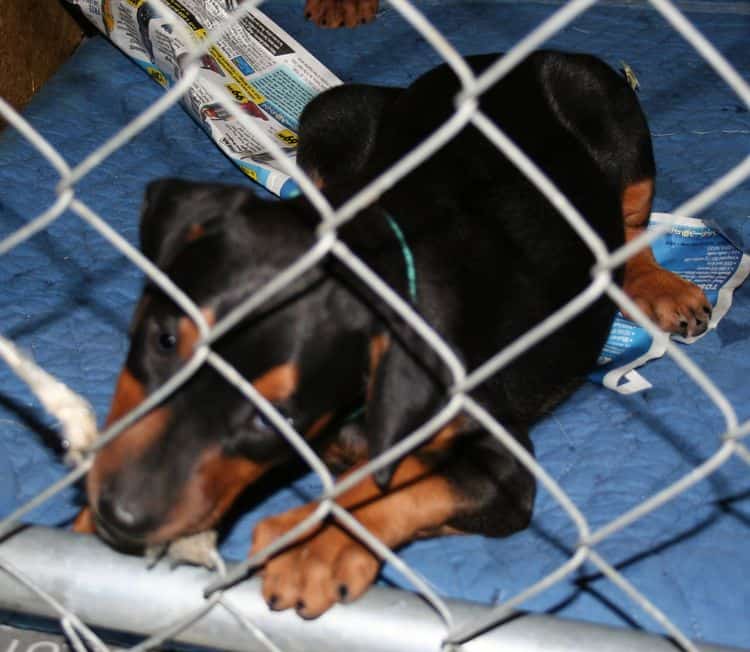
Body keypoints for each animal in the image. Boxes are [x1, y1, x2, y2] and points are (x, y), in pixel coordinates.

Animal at [75, 49, 712, 616]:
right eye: (163, 342)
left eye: (274, 418)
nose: (120, 515)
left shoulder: (500, 460)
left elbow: (403, 483)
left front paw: (316, 548)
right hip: (332, 114)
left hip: (604, 99)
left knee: (629, 224)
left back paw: (662, 288)